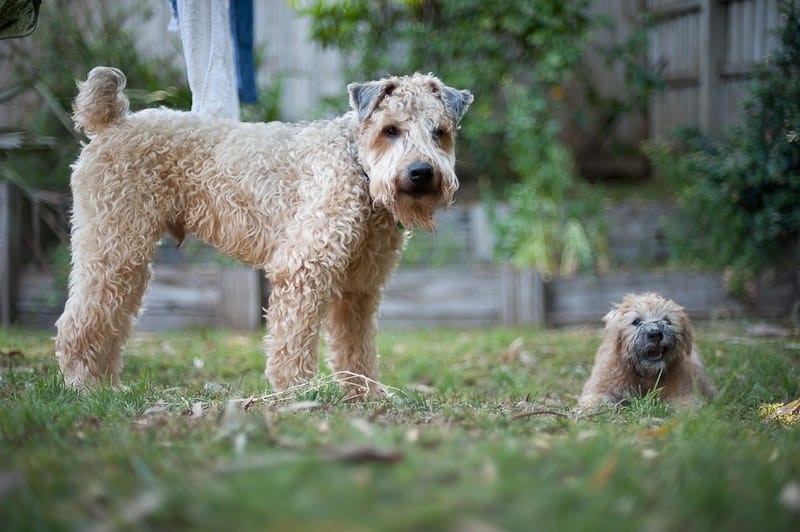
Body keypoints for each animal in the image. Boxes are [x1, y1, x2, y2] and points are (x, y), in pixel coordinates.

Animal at [54, 66, 468, 396]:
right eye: (390, 130)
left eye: (439, 132)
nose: (421, 172)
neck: (358, 168)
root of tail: (112, 122)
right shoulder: (304, 269)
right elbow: (293, 341)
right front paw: (297, 391)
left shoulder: (359, 287)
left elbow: (357, 348)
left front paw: (365, 394)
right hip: (114, 249)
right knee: (78, 322)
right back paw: (82, 385)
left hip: (128, 262)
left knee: (111, 322)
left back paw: (107, 387)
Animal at [576, 294, 720, 410]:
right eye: (636, 321)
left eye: (667, 321)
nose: (655, 334)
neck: (644, 375)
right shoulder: (602, 386)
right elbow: (594, 399)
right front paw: (585, 410)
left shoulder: (680, 392)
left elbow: (686, 402)